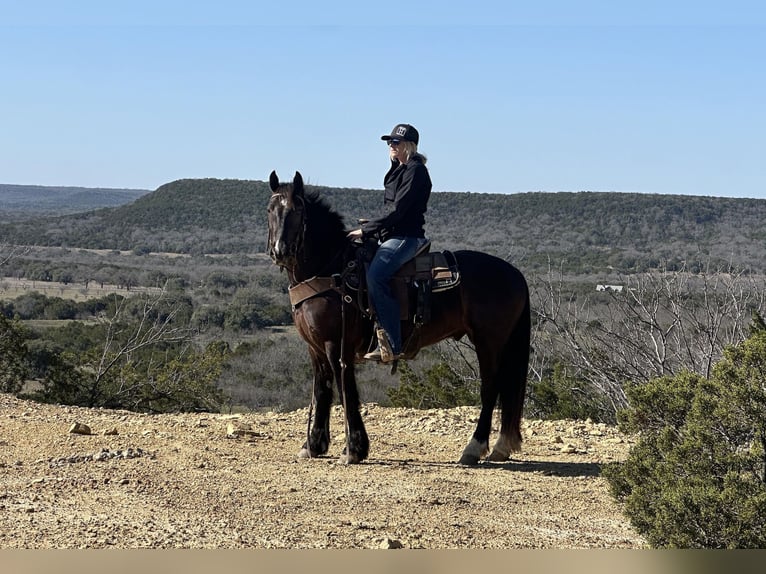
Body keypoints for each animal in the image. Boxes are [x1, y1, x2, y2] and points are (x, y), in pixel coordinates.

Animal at [268, 172, 532, 468]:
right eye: (270, 210)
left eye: (297, 210)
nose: (280, 250)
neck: (332, 272)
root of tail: (514, 273)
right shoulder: (315, 347)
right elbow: (322, 390)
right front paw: (313, 445)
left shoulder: (337, 345)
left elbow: (345, 389)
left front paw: (353, 449)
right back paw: (500, 446)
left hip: (488, 341)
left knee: (490, 388)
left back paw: (473, 449)